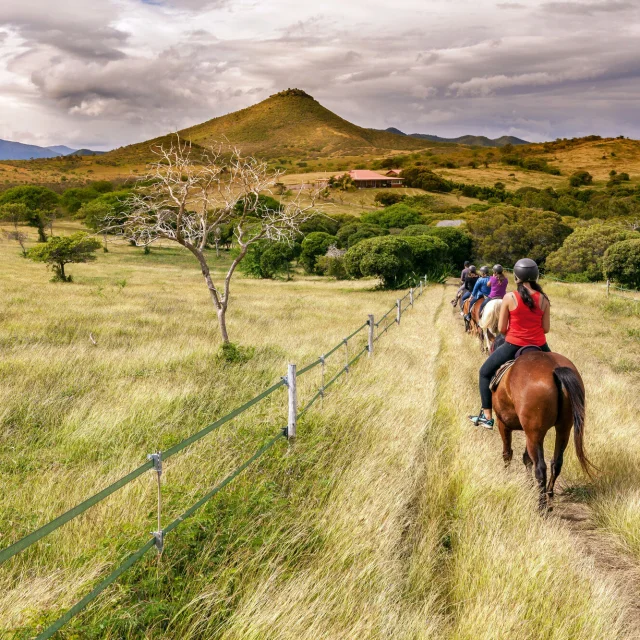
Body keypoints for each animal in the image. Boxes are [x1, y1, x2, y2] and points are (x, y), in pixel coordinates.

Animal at [492, 348, 592, 508]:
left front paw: (506, 478)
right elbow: (526, 458)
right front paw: (529, 485)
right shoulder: (529, 433)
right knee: (556, 463)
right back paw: (549, 497)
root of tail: (554, 369)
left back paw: (541, 505)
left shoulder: (504, 424)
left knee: (540, 467)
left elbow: (507, 454)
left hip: (535, 433)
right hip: (563, 429)